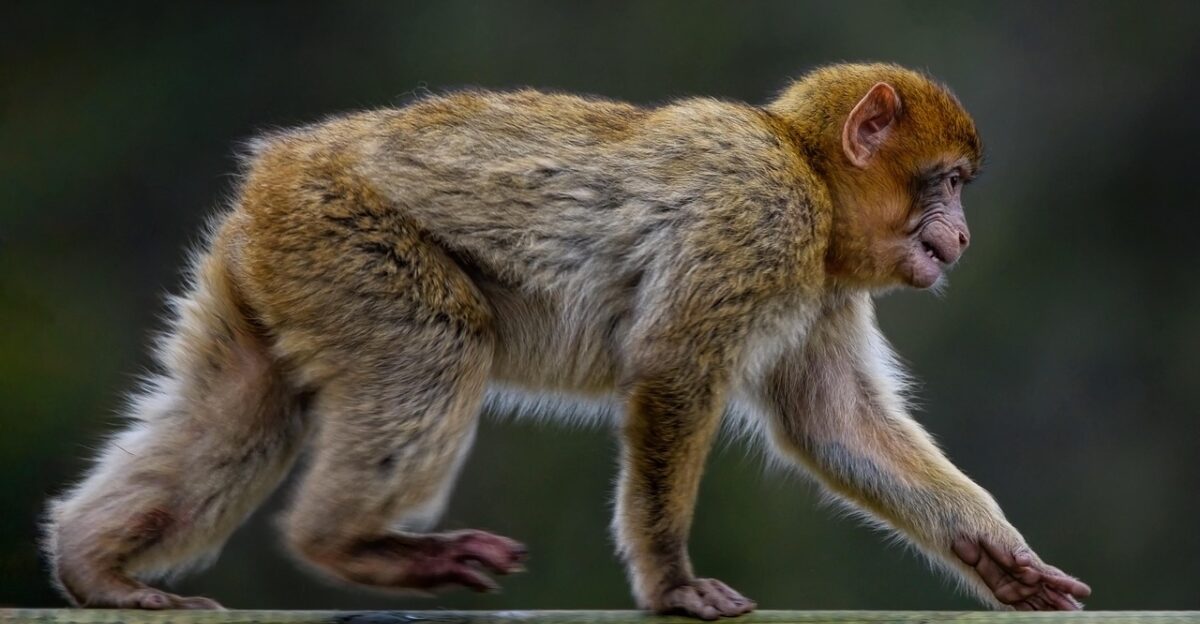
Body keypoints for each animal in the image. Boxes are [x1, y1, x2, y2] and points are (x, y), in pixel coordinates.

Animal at [44, 62, 1091, 618]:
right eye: (945, 183)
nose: (962, 235)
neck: (807, 174)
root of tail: (281, 165)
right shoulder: (758, 218)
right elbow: (673, 372)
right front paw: (670, 582)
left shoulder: (824, 284)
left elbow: (833, 422)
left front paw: (994, 553)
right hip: (339, 233)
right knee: (437, 345)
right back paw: (345, 543)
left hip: (270, 262)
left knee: (240, 406)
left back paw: (97, 568)